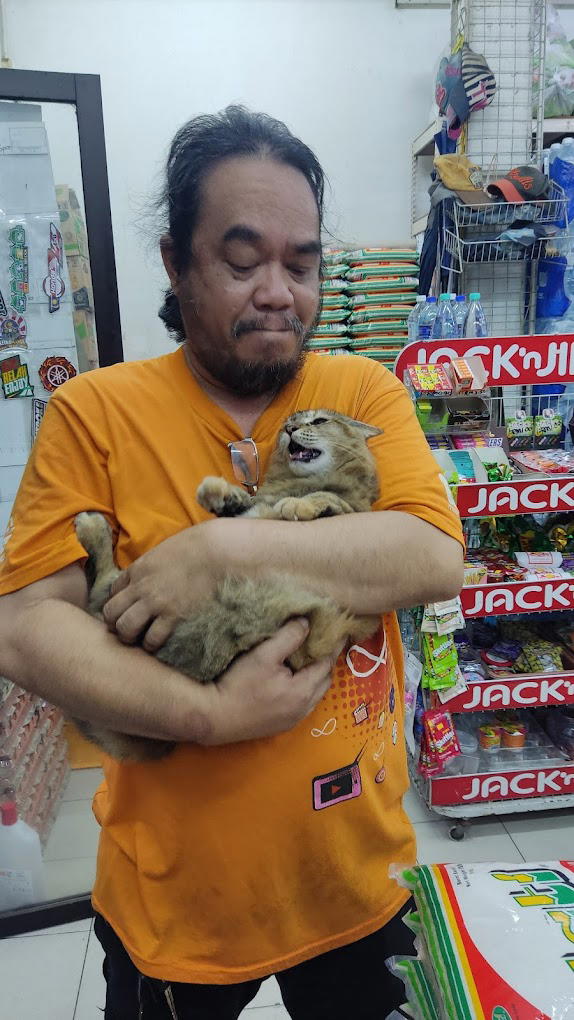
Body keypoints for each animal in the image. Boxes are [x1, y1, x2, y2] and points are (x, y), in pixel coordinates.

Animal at [73, 410, 383, 762]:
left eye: (318, 421)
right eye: (287, 423)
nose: (289, 428)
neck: (296, 482)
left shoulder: (350, 511)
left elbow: (329, 501)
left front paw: (298, 505)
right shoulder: (254, 510)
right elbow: (245, 506)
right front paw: (220, 494)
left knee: (102, 587)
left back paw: (90, 525)